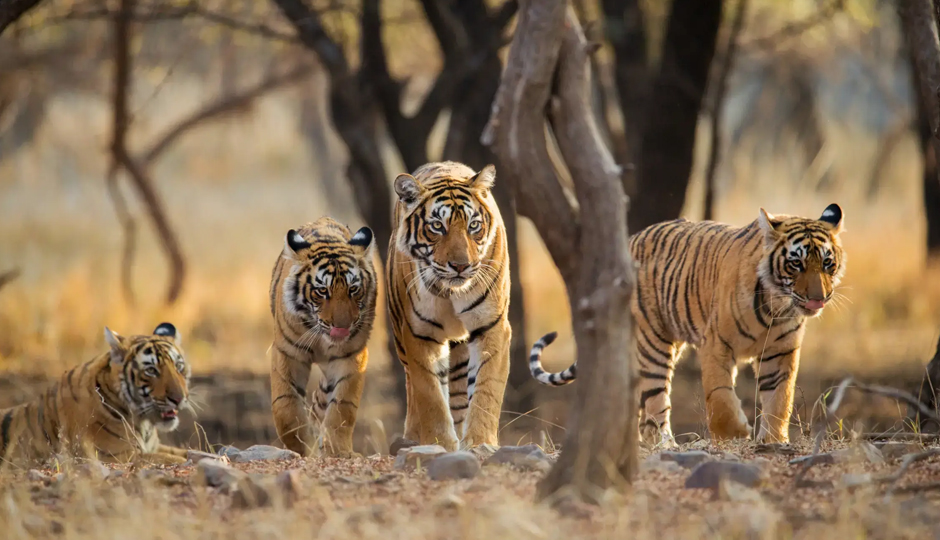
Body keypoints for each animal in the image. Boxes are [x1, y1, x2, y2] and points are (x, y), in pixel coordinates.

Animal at [0, 323, 191, 467]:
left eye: (178, 366)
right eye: (151, 370)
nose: (179, 399)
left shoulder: (153, 447)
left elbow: (189, 452)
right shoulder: (115, 455)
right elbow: (172, 458)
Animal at [268, 217, 377, 457]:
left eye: (353, 289)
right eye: (322, 291)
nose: (342, 327)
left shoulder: (351, 356)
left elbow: (342, 407)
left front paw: (337, 451)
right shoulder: (287, 352)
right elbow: (285, 406)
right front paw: (300, 446)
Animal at [387, 161, 511, 451]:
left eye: (473, 225)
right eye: (437, 226)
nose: (461, 266)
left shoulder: (492, 326)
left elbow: (486, 389)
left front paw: (480, 442)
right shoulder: (420, 333)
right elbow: (430, 395)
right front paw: (439, 443)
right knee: (413, 387)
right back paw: (411, 437)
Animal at [528, 204, 846, 445]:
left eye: (827, 263)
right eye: (796, 264)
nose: (818, 298)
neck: (776, 306)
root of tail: (629, 240)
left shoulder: (780, 352)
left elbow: (780, 398)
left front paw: (773, 440)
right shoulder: (716, 344)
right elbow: (719, 396)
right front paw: (734, 434)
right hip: (652, 343)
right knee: (655, 401)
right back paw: (664, 443)